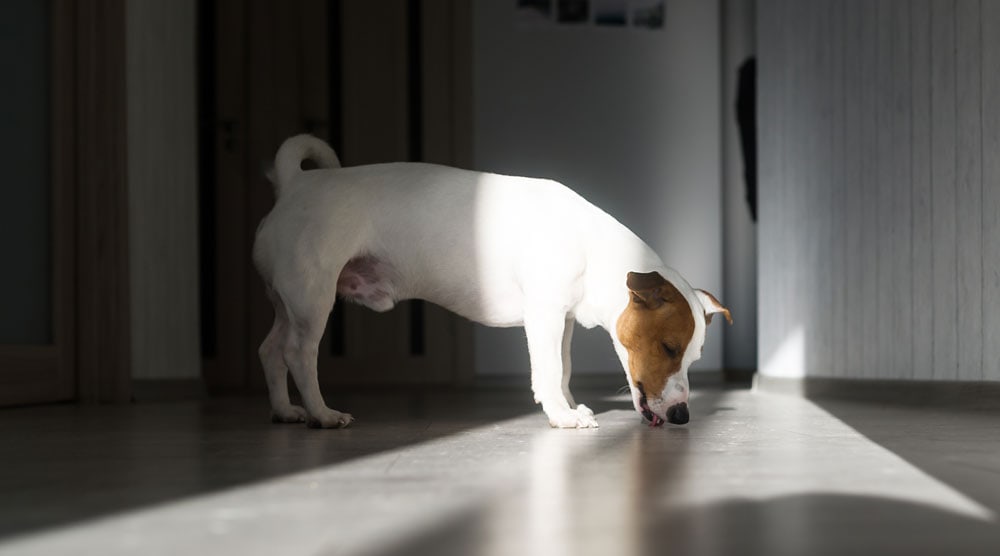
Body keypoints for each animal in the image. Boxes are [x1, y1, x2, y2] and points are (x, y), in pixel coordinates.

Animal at [254, 135, 732, 430]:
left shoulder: (563, 322)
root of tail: (296, 185)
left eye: (693, 357)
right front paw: (561, 416)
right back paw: (321, 414)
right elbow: (549, 370)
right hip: (313, 299)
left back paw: (284, 410)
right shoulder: (543, 316)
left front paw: (566, 404)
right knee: (298, 353)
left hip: (287, 302)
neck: (592, 249)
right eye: (668, 347)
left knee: (271, 350)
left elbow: (563, 369)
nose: (683, 416)